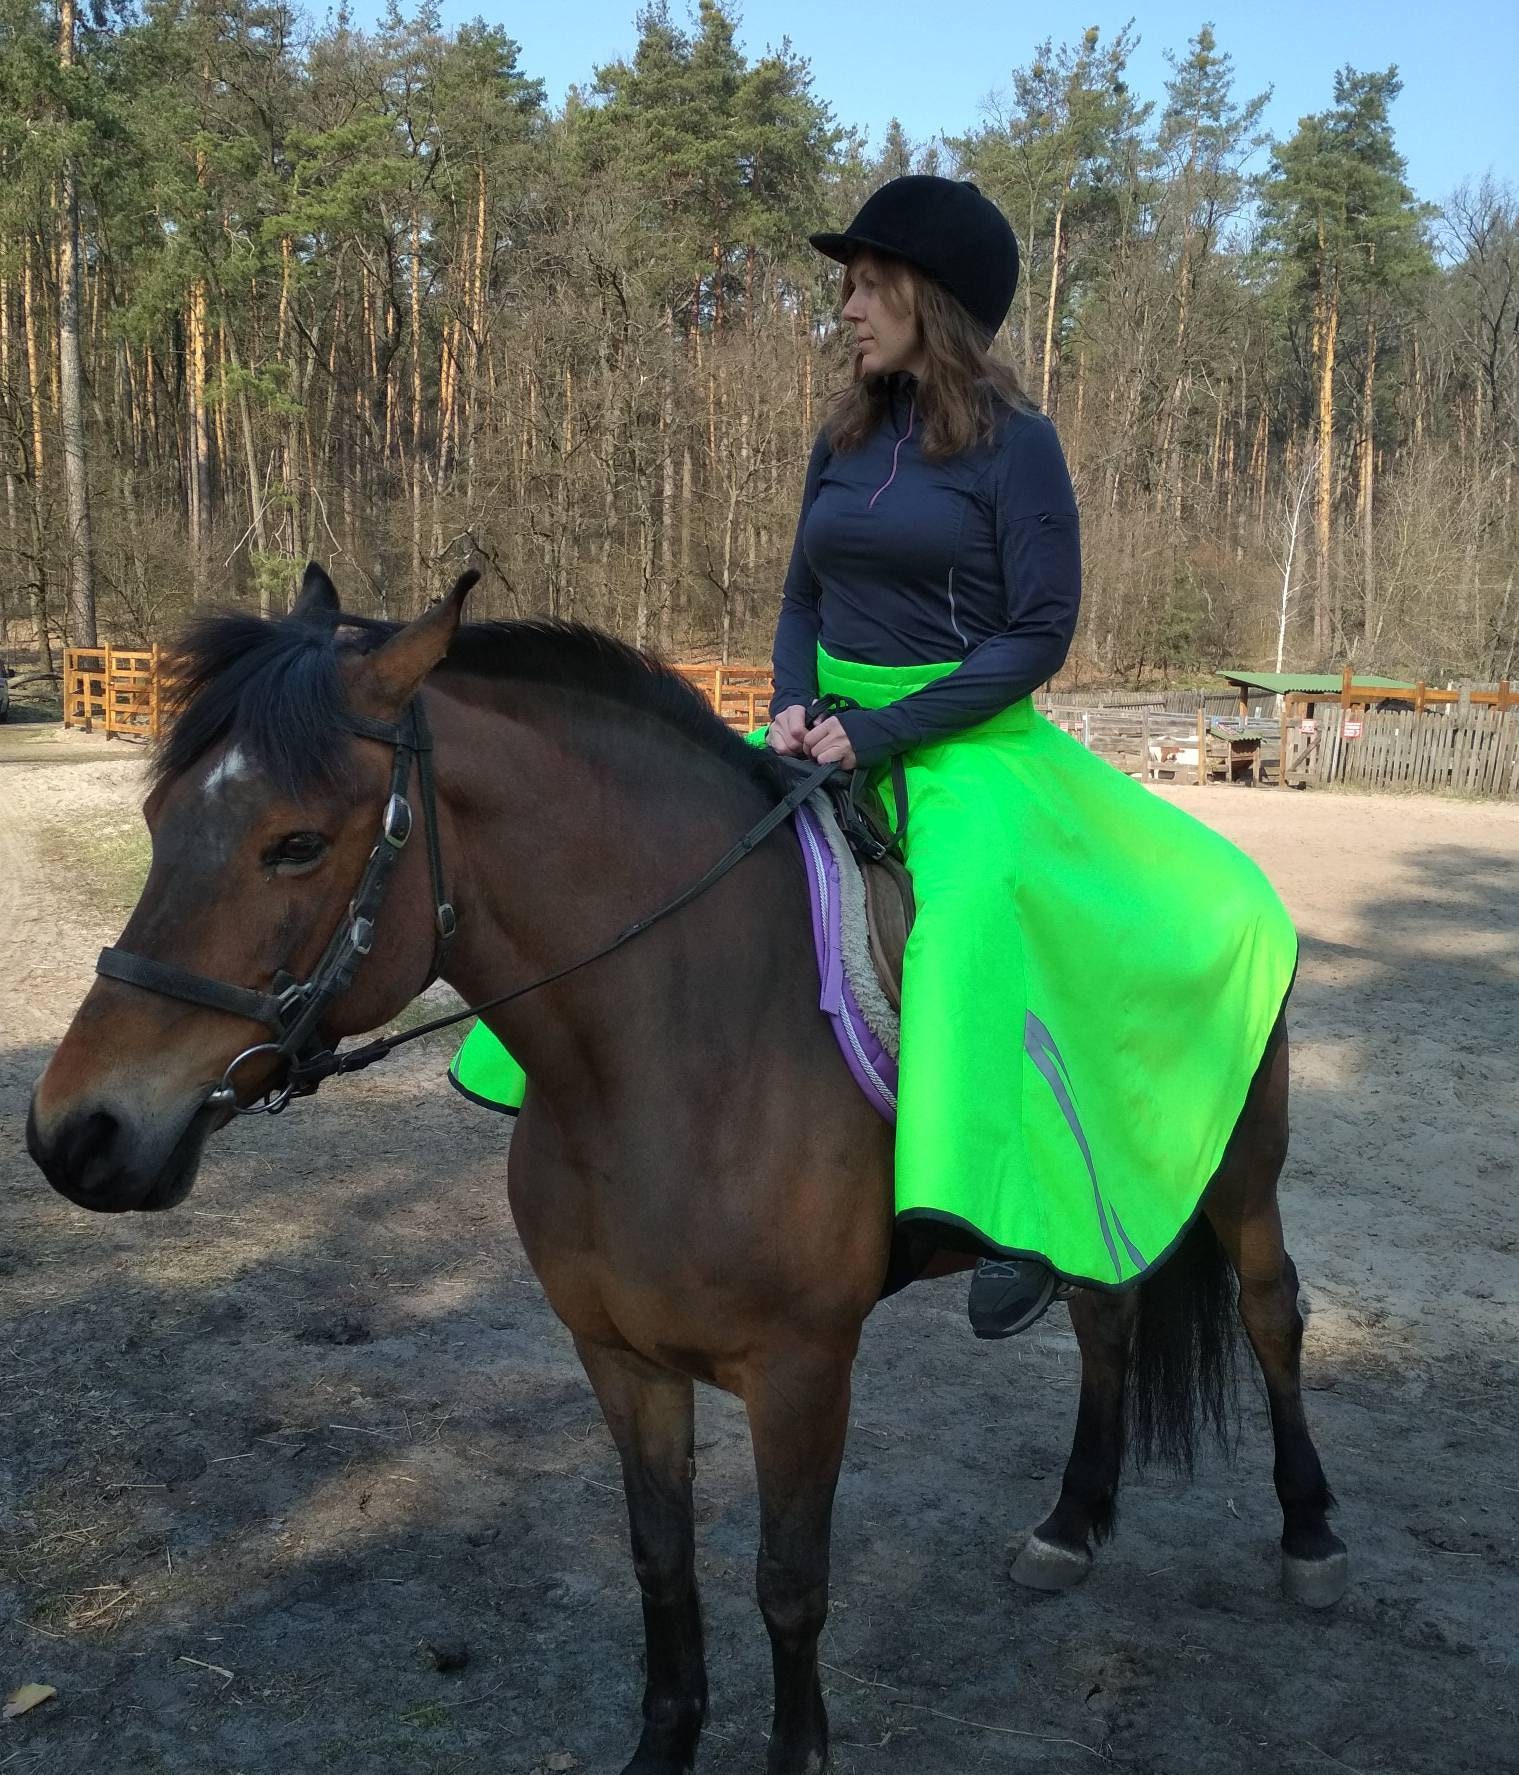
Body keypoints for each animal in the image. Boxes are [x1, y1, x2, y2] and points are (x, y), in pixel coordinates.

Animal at [27, 566, 1347, 1775]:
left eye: (294, 844)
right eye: (157, 822)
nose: (74, 1132)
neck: (671, 1054)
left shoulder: (801, 1369)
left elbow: (789, 1580)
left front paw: (795, 1753)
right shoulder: (619, 1355)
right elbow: (659, 1558)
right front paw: (662, 1744)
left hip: (1241, 1169)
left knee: (1270, 1313)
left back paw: (1311, 1535)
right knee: (1106, 1314)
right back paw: (1072, 1520)